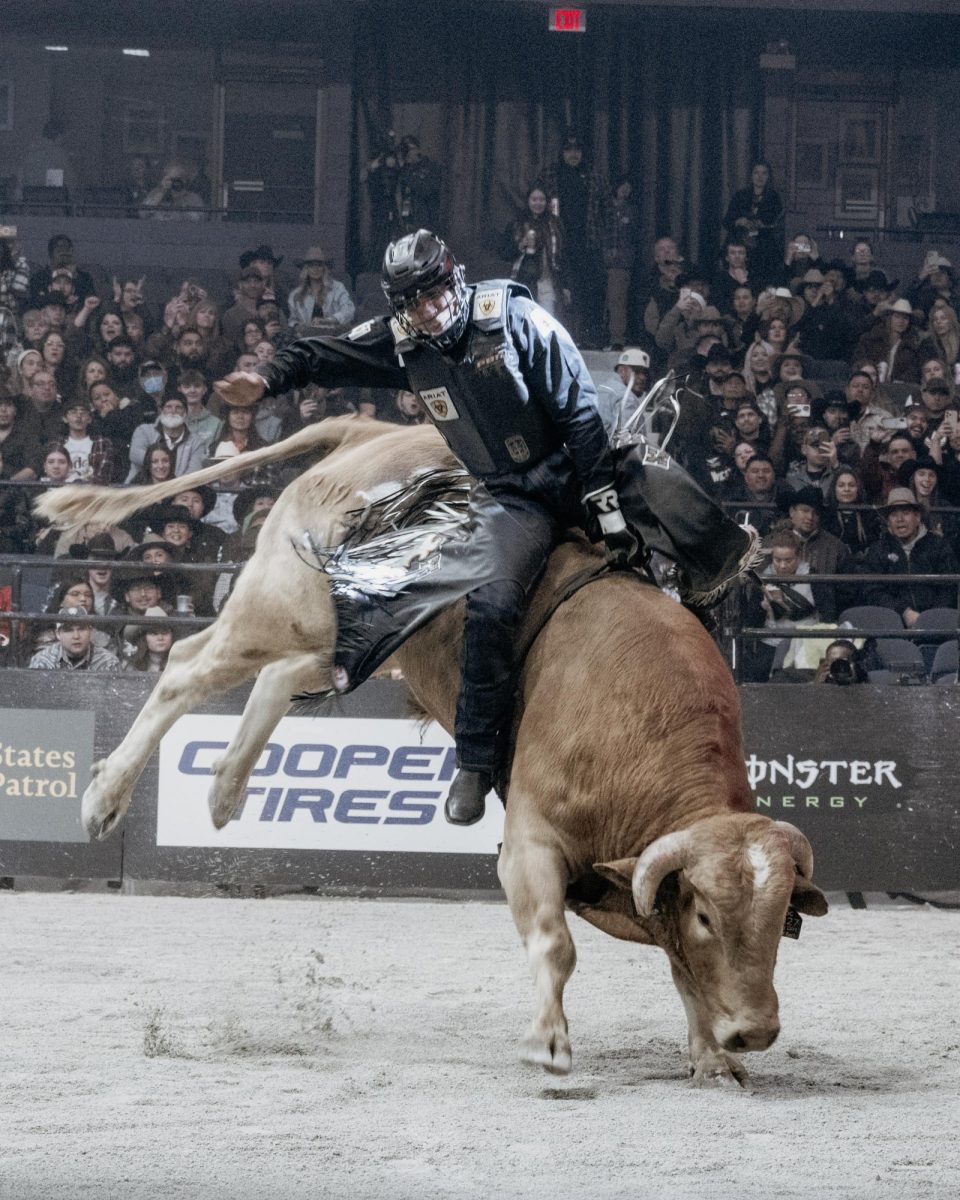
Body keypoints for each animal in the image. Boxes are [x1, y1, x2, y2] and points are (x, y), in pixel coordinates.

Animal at [37, 415, 825, 1089]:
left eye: (781, 919)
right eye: (707, 915)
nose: (757, 1030)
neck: (643, 723)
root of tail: (374, 428)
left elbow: (680, 968)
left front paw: (713, 1059)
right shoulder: (530, 845)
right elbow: (558, 943)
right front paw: (550, 1043)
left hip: (352, 635)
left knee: (275, 676)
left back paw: (226, 788)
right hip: (287, 603)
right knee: (186, 666)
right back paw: (104, 799)